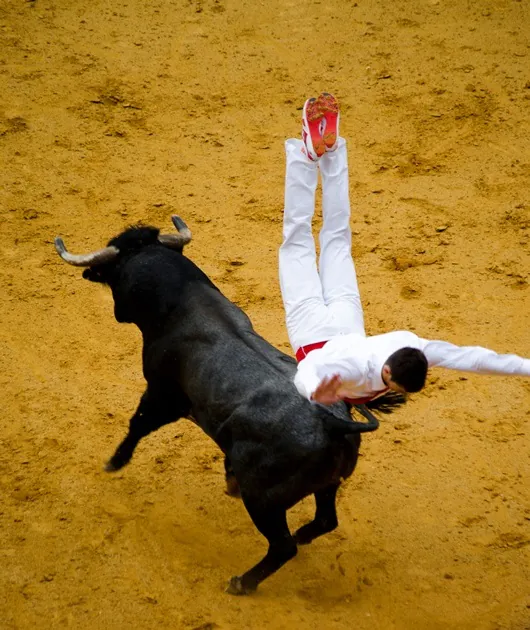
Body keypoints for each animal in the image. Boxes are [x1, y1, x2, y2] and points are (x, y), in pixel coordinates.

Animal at [54, 217, 396, 596]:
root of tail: (336, 424)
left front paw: (115, 462)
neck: (182, 303)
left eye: (113, 271)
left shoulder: (161, 395)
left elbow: (138, 424)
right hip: (326, 485)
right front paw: (228, 476)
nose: (118, 313)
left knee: (282, 546)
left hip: (263, 500)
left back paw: (242, 582)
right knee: (324, 520)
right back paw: (300, 534)